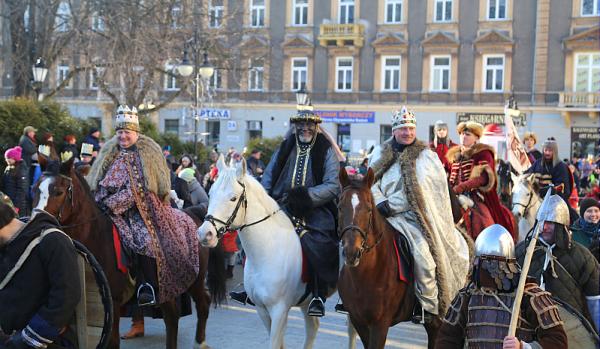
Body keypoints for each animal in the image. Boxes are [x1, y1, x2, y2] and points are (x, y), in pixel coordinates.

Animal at [32, 155, 226, 348]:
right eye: (35, 189)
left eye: (58, 192)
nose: (36, 221)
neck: (97, 235)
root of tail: (195, 217)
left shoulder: (113, 303)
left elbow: (113, 341)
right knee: (172, 315)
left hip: (194, 280)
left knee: (202, 304)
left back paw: (200, 342)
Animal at [198, 156, 356, 348]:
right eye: (211, 193)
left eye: (233, 198)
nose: (204, 234)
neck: (266, 253)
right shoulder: (262, 309)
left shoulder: (280, 310)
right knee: (313, 327)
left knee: (351, 331)